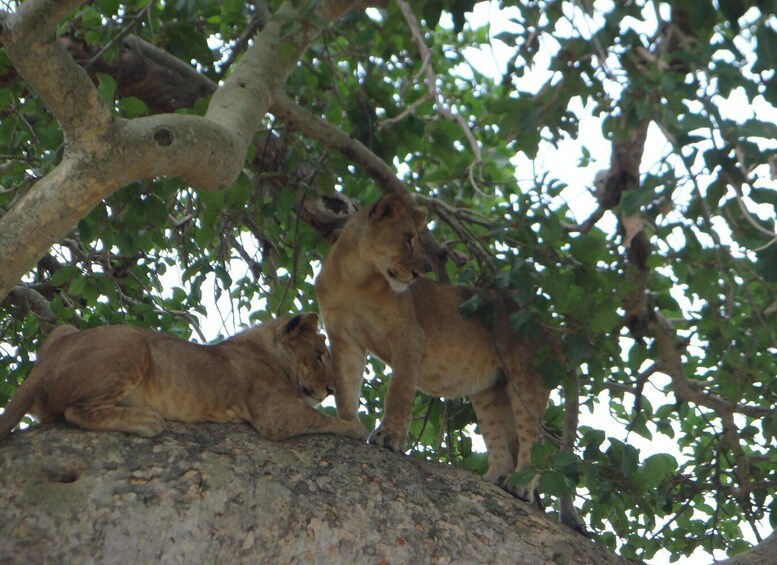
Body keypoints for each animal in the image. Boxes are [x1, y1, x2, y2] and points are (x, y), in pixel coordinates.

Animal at [0, 313, 368, 443]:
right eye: (319, 354)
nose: (332, 388)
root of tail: (43, 365)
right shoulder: (276, 416)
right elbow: (320, 417)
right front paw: (356, 427)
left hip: (64, 330)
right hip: (133, 341)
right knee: (76, 412)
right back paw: (146, 422)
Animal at [316, 193, 584, 531]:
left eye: (419, 242)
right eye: (407, 239)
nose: (422, 271)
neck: (356, 276)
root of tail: (551, 330)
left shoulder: (409, 335)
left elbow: (399, 391)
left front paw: (389, 437)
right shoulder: (344, 339)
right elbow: (346, 386)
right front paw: (349, 425)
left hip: (527, 380)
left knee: (534, 443)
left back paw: (520, 486)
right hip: (490, 392)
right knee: (502, 440)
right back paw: (496, 478)